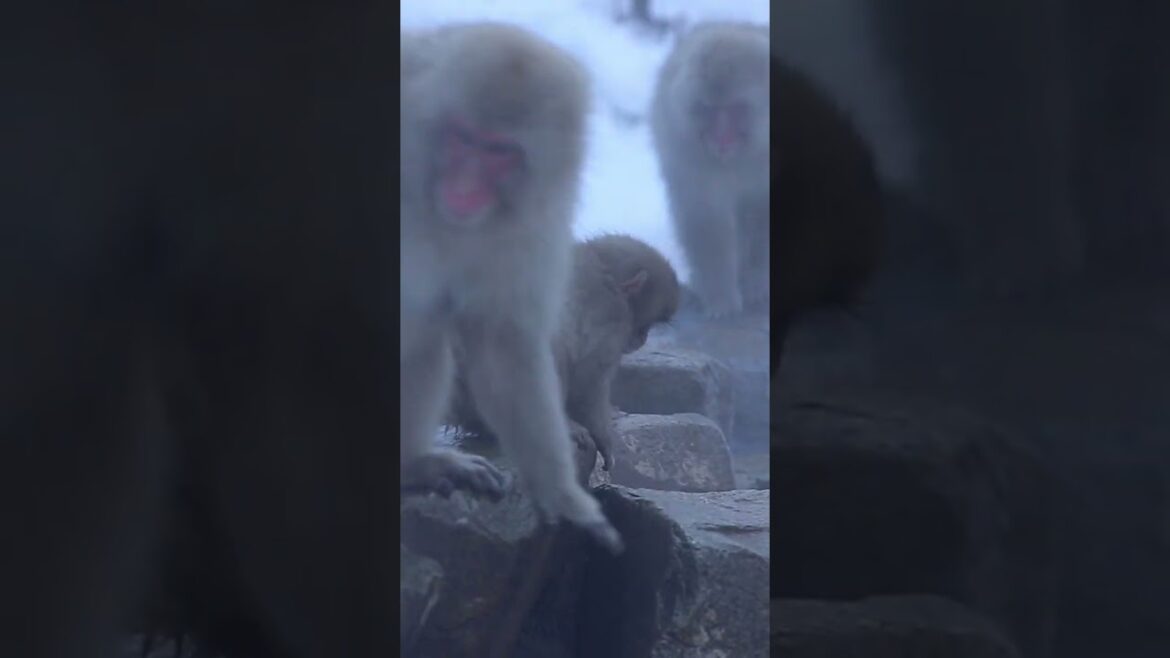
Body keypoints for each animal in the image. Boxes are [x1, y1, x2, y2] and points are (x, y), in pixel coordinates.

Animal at [398, 23, 623, 554]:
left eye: (499, 151)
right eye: (462, 138)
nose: (462, 189)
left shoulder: (533, 223)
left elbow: (503, 341)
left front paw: (566, 498)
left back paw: (411, 463)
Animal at [649, 21, 770, 318]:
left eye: (737, 108)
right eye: (706, 109)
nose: (722, 139)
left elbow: (763, 208)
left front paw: (757, 282)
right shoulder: (686, 153)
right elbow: (705, 218)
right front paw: (720, 296)